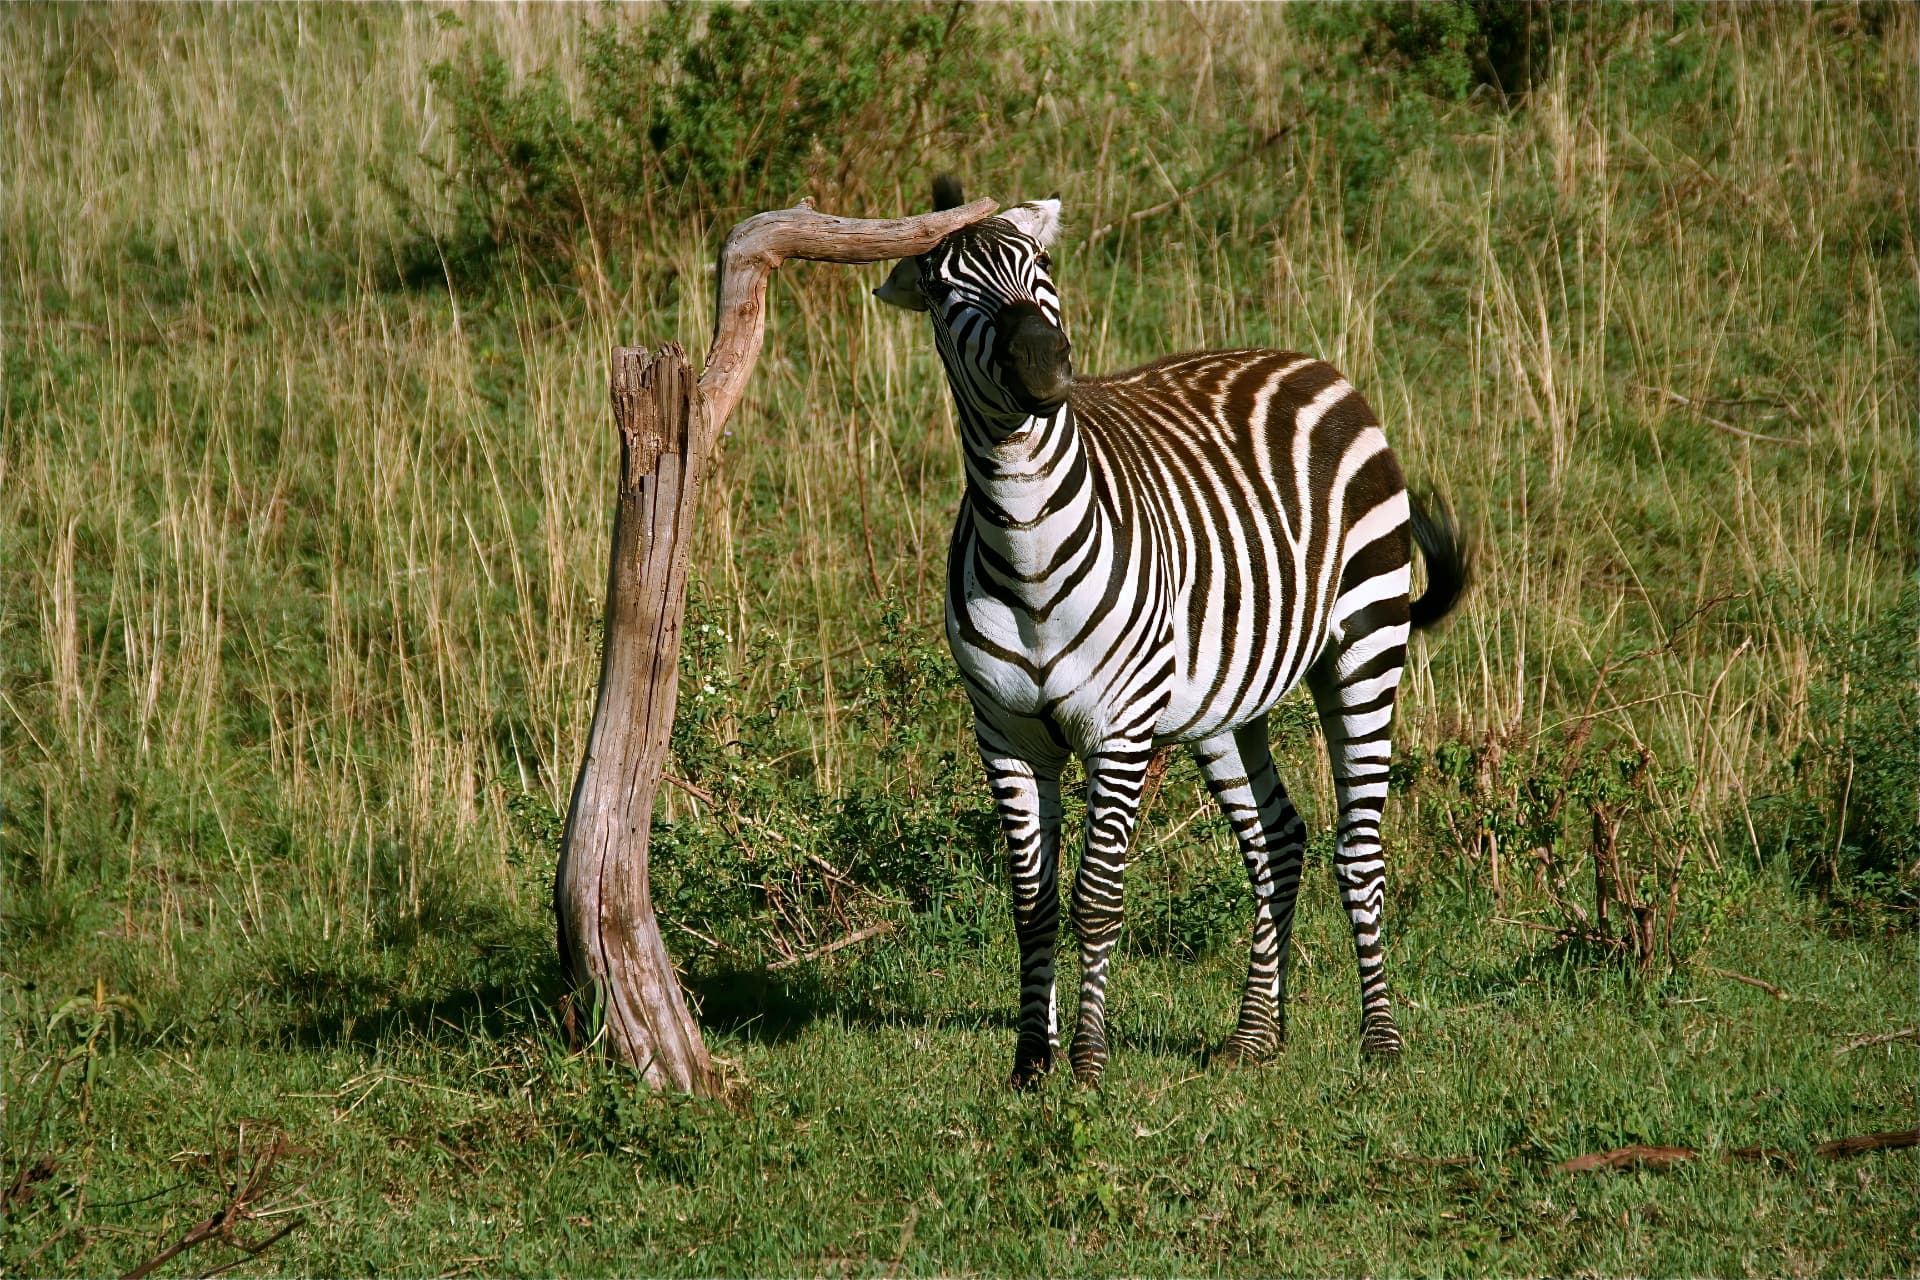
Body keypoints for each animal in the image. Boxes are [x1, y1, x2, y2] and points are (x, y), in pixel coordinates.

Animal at [875, 176, 1468, 1088]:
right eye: (943, 293)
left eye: (1042, 267)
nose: (1043, 364)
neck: (1026, 547)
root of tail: (1308, 363)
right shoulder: (1007, 735)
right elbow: (1032, 902)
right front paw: (1030, 1061)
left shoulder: (1118, 732)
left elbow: (1096, 899)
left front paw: (1087, 1062)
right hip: (1223, 701)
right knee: (1278, 840)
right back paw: (1256, 1036)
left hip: (1364, 647)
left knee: (1359, 853)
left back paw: (1380, 1041)